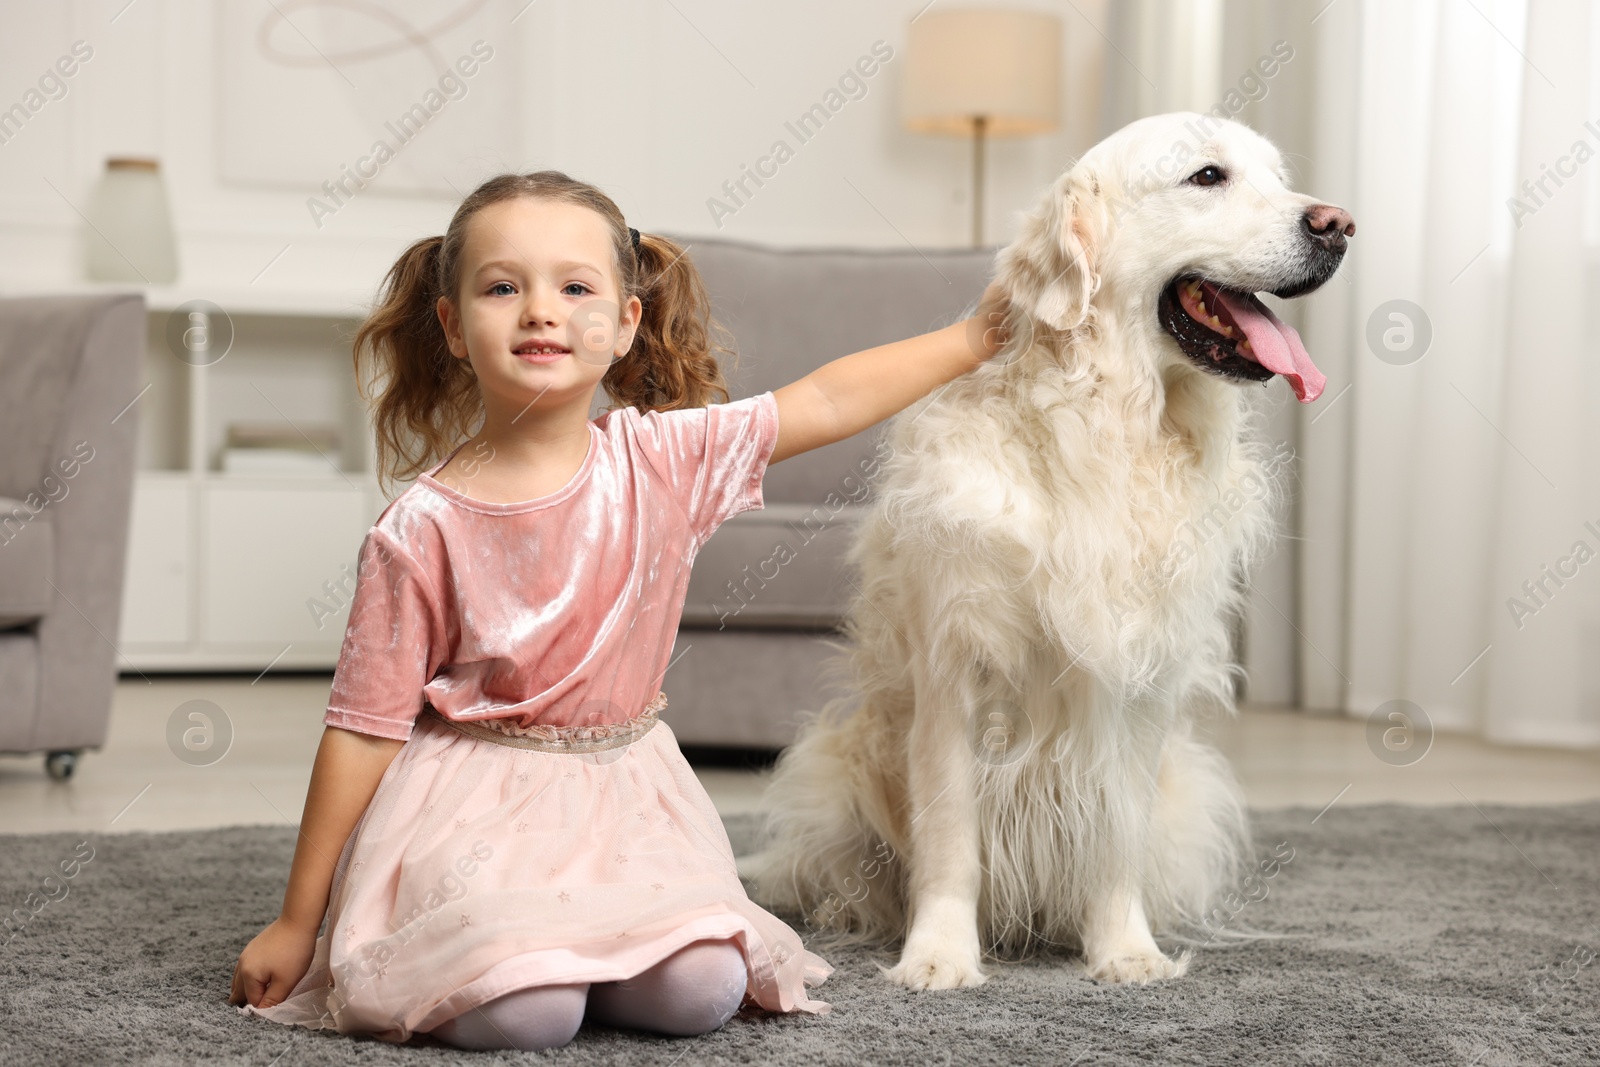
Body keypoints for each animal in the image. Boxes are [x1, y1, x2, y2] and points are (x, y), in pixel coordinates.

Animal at [736, 112, 1350, 991]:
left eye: (1279, 177)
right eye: (1207, 176)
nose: (1339, 225)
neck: (1108, 426)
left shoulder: (1141, 679)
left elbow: (1117, 832)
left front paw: (1125, 949)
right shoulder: (956, 670)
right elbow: (950, 838)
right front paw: (938, 955)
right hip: (836, 770)